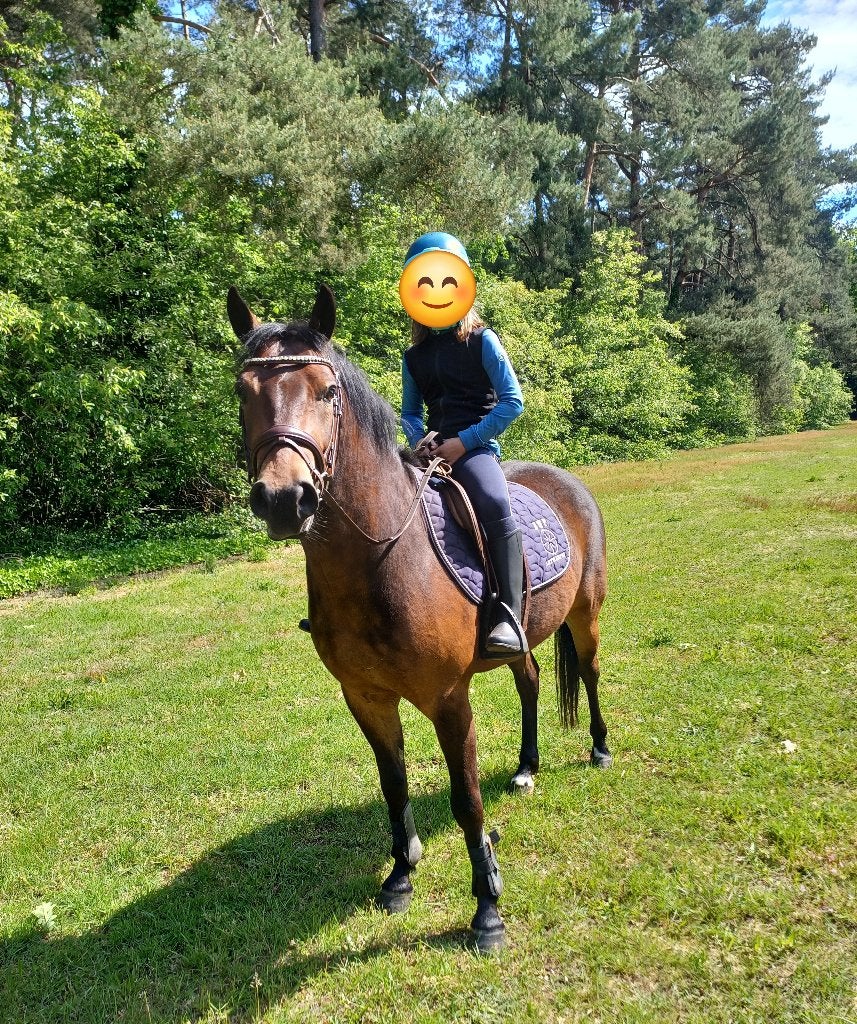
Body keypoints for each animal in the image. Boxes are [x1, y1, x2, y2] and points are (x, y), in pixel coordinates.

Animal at [228, 284, 611, 952]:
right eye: (243, 392)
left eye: (327, 391)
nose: (283, 498)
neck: (381, 559)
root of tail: (568, 482)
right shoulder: (365, 697)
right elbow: (394, 785)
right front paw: (401, 876)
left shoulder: (448, 698)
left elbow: (466, 801)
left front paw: (487, 909)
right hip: (522, 640)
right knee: (532, 681)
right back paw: (527, 768)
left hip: (585, 615)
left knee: (587, 673)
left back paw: (599, 748)